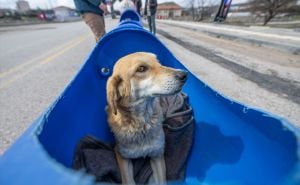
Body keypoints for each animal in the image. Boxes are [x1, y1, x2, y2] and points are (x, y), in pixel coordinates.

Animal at [106, 51, 188, 184]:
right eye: (141, 68)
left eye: (158, 62)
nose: (184, 74)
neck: (142, 123)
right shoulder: (122, 155)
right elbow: (128, 180)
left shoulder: (157, 155)